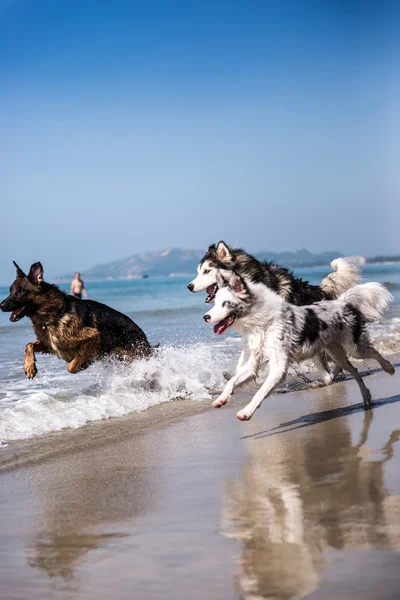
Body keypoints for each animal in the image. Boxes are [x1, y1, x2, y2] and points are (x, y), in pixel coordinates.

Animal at [203, 272, 394, 422]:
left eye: (226, 303)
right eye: (215, 302)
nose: (206, 317)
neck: (262, 323)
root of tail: (341, 302)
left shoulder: (278, 368)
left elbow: (260, 392)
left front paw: (246, 412)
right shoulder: (252, 365)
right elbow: (232, 381)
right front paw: (221, 399)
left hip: (354, 348)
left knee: (373, 353)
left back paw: (389, 368)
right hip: (336, 353)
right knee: (354, 370)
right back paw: (366, 396)